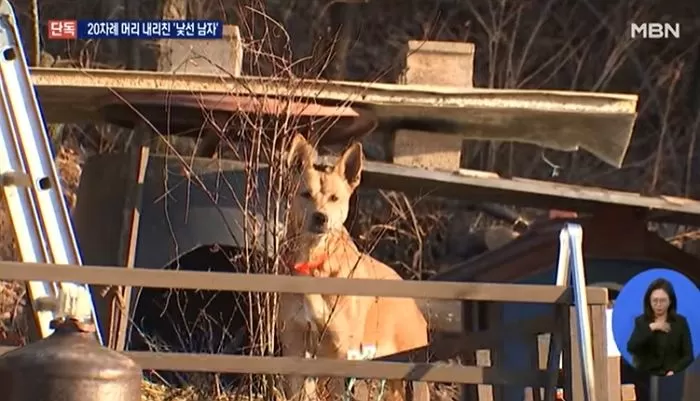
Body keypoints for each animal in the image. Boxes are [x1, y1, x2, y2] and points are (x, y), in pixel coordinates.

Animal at [276, 134, 430, 400]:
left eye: (334, 198)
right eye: (305, 194)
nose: (320, 217)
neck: (315, 263)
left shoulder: (341, 355)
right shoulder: (295, 349)